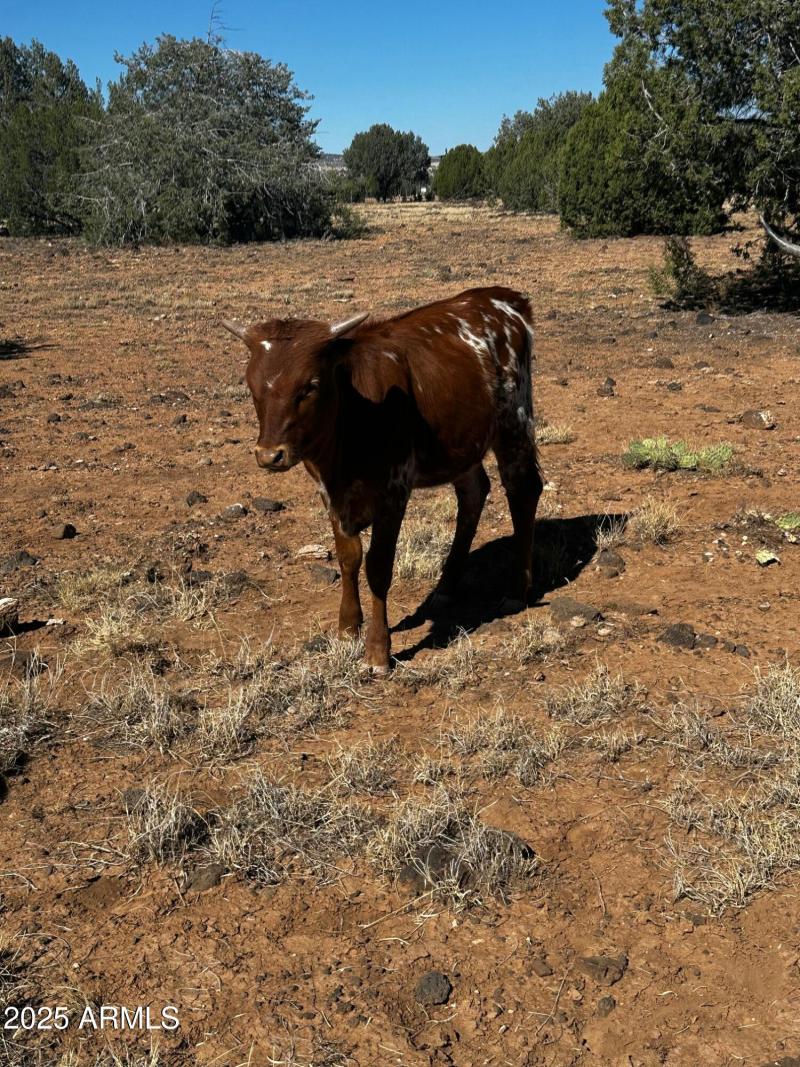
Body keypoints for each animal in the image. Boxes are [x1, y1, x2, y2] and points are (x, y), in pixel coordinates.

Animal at [222, 286, 543, 673]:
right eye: (252, 385)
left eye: (310, 385)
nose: (270, 455)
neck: (353, 417)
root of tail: (501, 298)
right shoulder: (330, 493)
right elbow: (348, 557)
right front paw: (348, 628)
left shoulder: (393, 491)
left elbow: (378, 566)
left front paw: (378, 650)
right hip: (462, 441)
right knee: (474, 493)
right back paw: (446, 586)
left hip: (514, 421)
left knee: (523, 490)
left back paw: (516, 589)